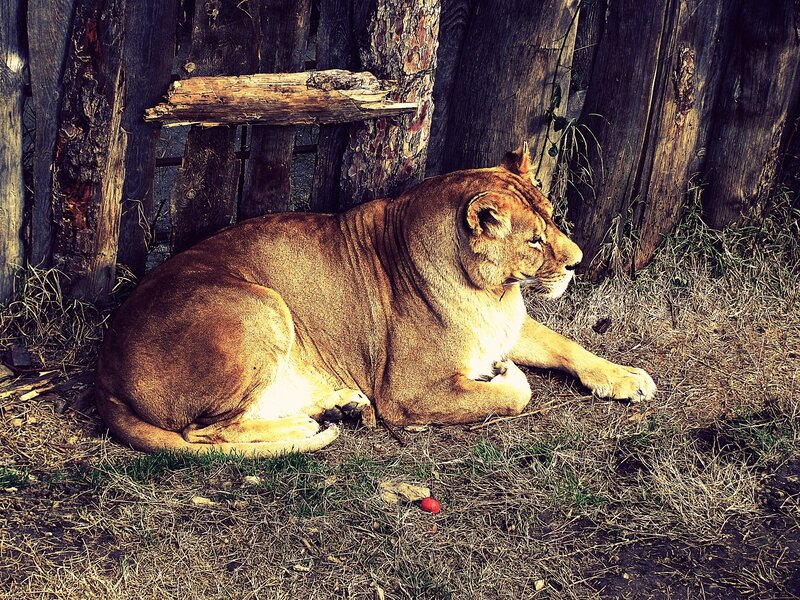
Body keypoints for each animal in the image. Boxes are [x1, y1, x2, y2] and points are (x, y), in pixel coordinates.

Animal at [95, 146, 656, 456]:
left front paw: (627, 377)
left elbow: (570, 347)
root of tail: (106, 371)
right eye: (535, 241)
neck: (492, 293)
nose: (578, 261)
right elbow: (515, 396)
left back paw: (341, 404)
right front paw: (505, 375)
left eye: (553, 219)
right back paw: (305, 424)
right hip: (261, 305)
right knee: (203, 431)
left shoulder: (510, 326)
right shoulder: (407, 392)